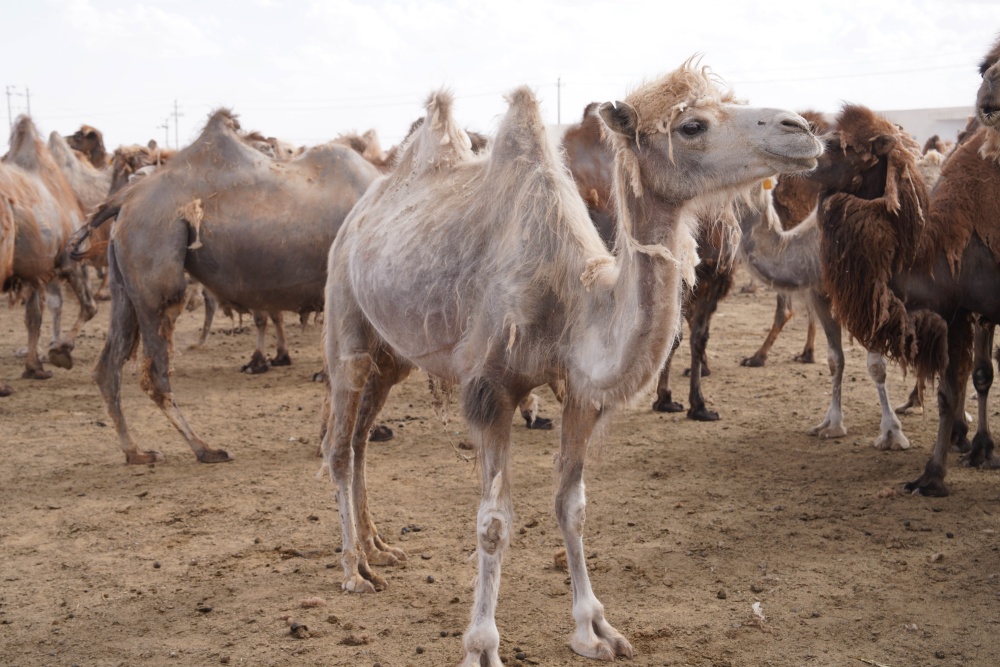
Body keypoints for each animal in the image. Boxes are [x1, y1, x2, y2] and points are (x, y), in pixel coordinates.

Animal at [92, 111, 380, 464]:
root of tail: (124, 201)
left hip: (124, 285)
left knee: (108, 367)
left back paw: (136, 451)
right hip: (154, 267)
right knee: (155, 373)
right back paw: (205, 449)